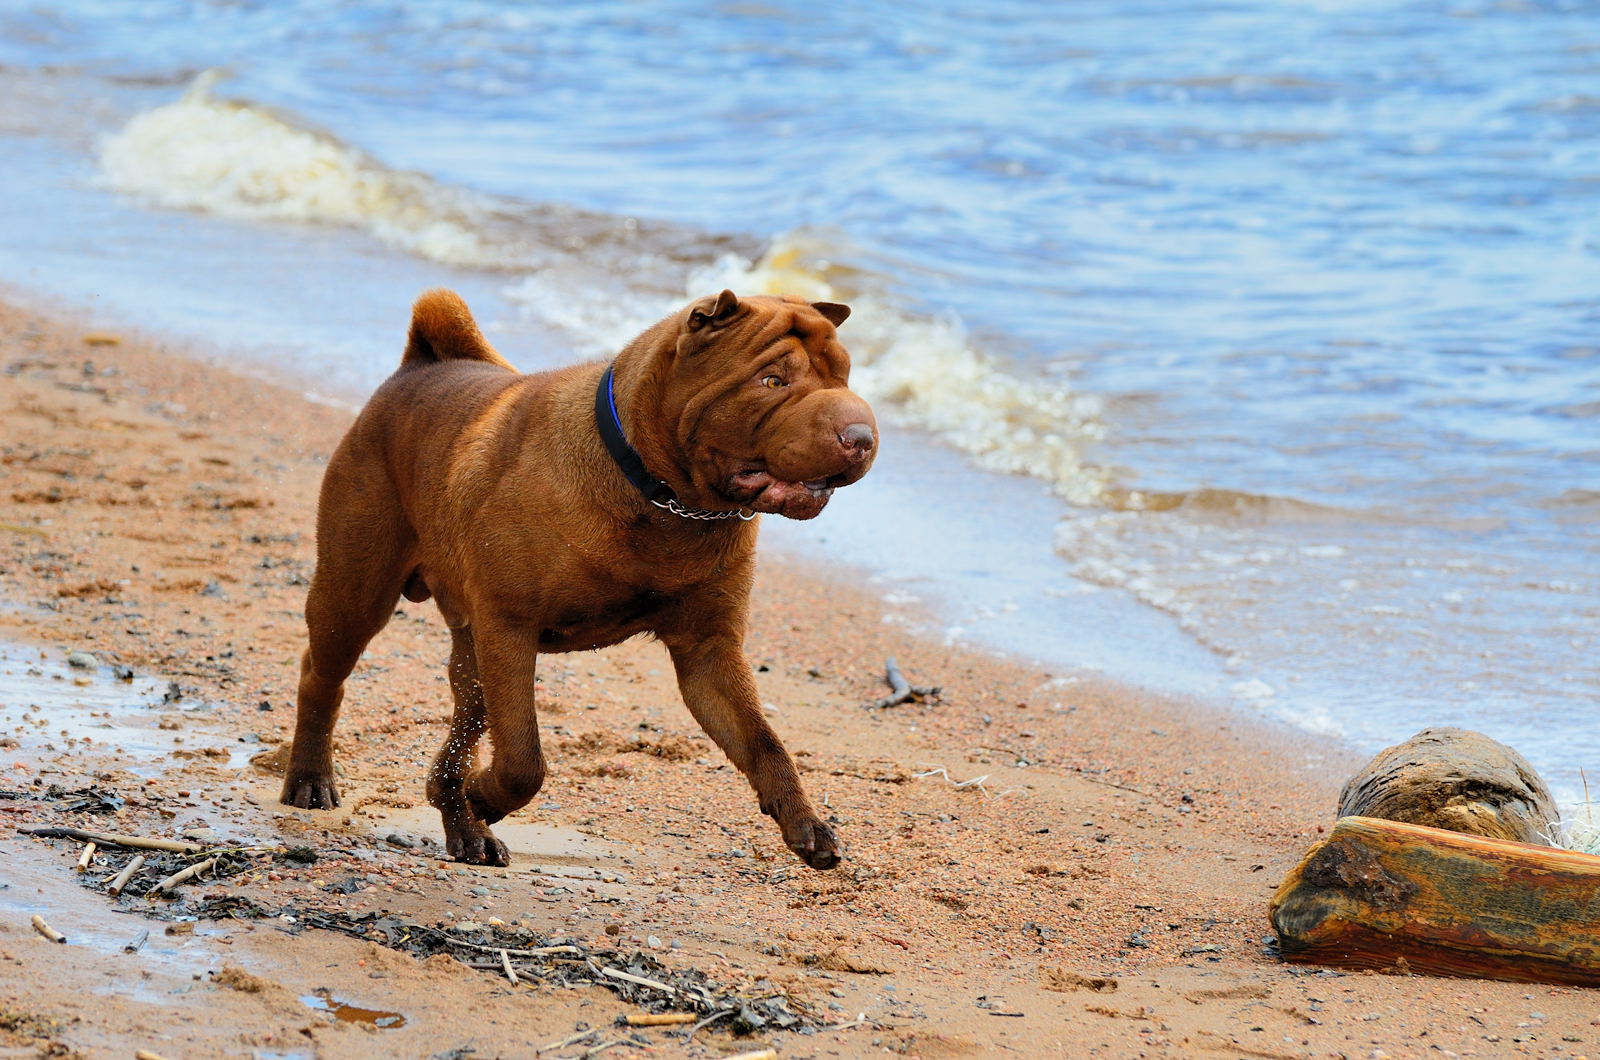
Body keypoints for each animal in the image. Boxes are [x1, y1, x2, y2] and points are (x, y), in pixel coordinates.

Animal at [275, 291, 876, 871]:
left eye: (844, 376)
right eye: (772, 381)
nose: (862, 436)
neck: (667, 501)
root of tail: (418, 366)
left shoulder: (709, 651)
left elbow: (763, 742)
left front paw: (805, 823)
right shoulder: (510, 627)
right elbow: (523, 759)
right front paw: (487, 797)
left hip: (469, 650)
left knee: (460, 734)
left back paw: (466, 828)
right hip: (356, 593)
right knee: (322, 677)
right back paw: (311, 779)